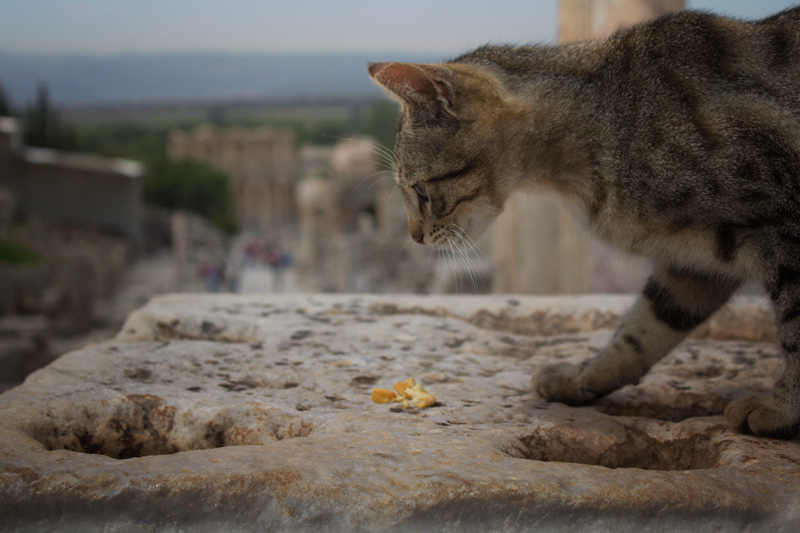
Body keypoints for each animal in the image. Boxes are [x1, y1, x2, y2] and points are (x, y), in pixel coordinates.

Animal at [368, 7, 800, 436]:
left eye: (420, 191)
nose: (415, 237)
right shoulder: (695, 262)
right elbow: (644, 328)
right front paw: (584, 377)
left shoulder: (783, 231)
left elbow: (795, 326)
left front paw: (784, 409)